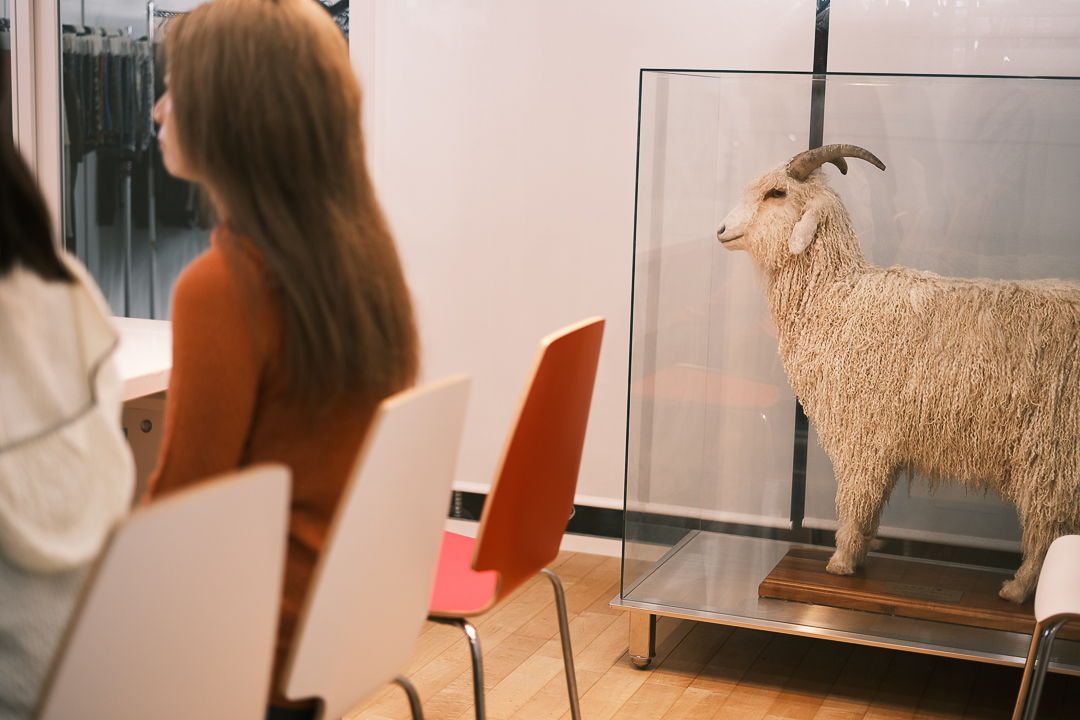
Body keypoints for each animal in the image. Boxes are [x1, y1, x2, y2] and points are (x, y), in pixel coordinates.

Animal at [716, 144, 1080, 603]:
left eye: (777, 194)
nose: (721, 229)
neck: (838, 297)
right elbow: (871, 507)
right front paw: (859, 556)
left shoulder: (861, 436)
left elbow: (856, 500)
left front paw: (840, 564)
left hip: (1050, 452)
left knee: (1047, 530)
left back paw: (1016, 589)